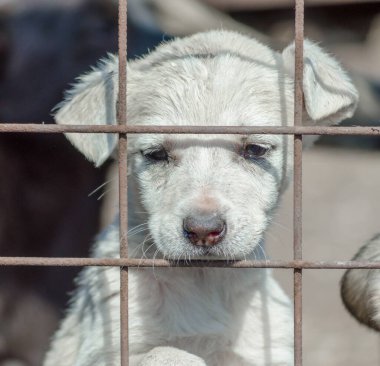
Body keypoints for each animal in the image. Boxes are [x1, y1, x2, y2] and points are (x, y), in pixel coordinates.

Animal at [43, 32, 358, 366]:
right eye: (155, 154)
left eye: (255, 149)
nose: (203, 231)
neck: (204, 279)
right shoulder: (105, 343)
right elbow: (165, 351)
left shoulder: (267, 346)